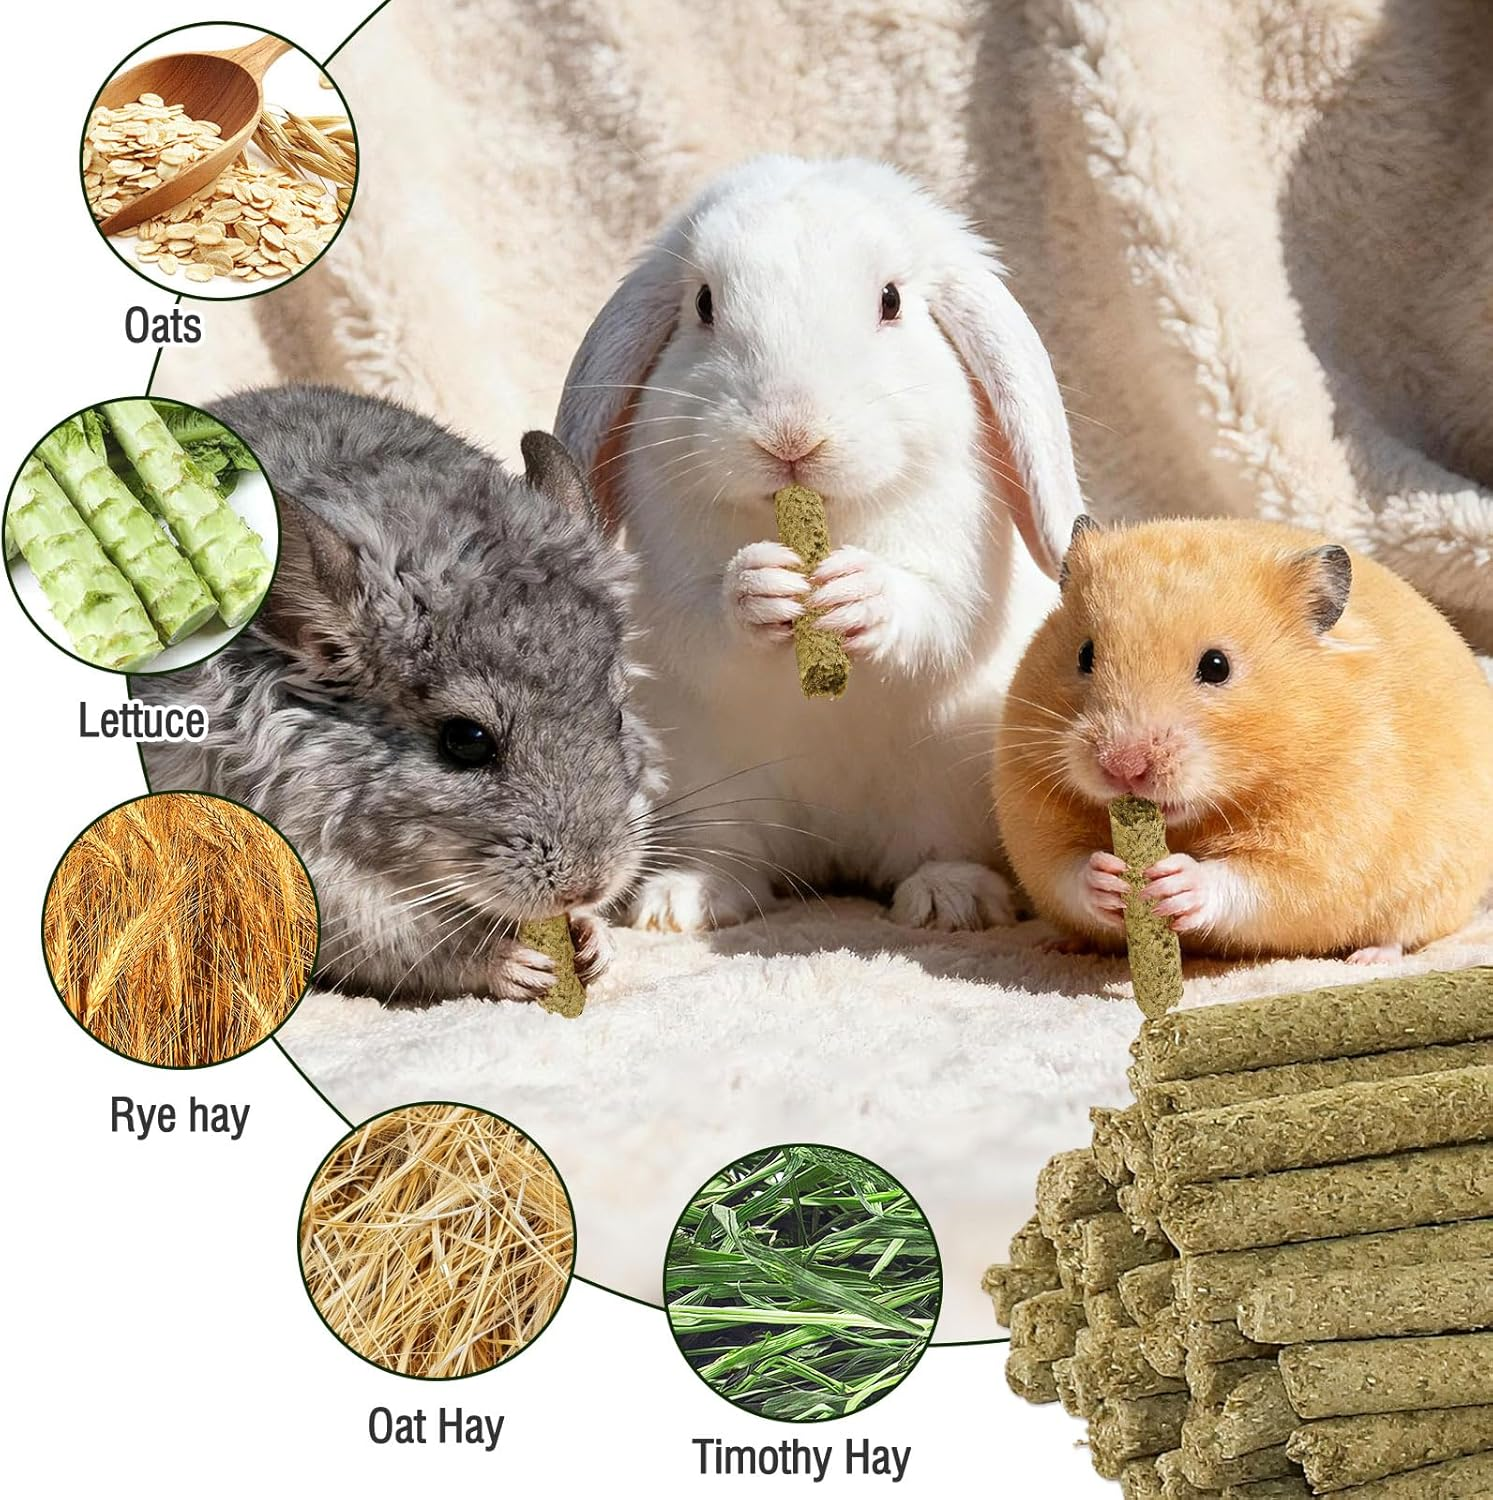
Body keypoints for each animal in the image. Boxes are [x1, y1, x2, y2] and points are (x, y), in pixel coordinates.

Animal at [136, 385, 663, 1005]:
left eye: (617, 716)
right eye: (466, 740)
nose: (588, 886)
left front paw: (594, 939)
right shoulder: (330, 890)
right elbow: (424, 946)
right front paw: (517, 963)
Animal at [555, 155, 1085, 933]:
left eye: (891, 301)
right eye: (704, 303)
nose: (790, 435)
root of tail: (831, 848)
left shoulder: (959, 574)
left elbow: (935, 611)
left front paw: (855, 592)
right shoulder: (665, 588)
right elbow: (698, 618)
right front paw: (762, 586)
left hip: (951, 787)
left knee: (936, 849)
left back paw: (951, 901)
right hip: (705, 787)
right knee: (730, 853)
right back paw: (683, 902)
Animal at [996, 517, 1493, 962]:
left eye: (1217, 666)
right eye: (1085, 655)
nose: (1122, 767)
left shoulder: (1325, 838)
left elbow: (1254, 880)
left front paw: (1176, 880)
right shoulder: (1029, 814)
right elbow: (1064, 868)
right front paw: (1109, 877)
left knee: (1401, 932)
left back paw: (1370, 958)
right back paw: (1058, 945)